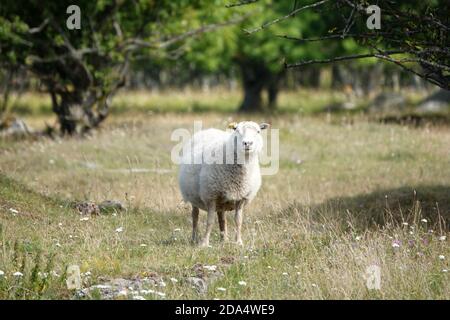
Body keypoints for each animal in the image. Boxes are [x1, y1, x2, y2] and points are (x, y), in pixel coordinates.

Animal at [178, 120, 268, 248]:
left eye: (258, 131)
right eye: (236, 130)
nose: (247, 143)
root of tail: (209, 130)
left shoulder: (241, 198)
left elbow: (238, 220)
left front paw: (238, 242)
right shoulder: (210, 196)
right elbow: (210, 221)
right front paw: (205, 243)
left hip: (221, 201)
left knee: (222, 218)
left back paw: (224, 239)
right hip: (194, 197)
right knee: (195, 216)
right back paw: (194, 238)